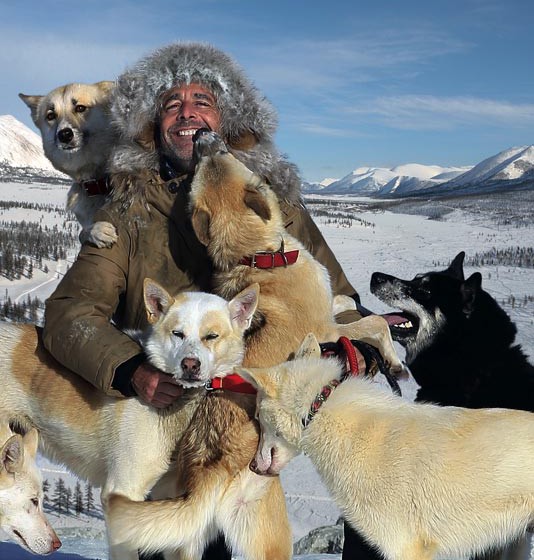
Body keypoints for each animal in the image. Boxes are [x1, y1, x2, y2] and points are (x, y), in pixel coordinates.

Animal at [19, 81, 118, 248]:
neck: (96, 182)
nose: (64, 134)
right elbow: (82, 232)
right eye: (51, 115)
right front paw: (94, 231)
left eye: (80, 108)